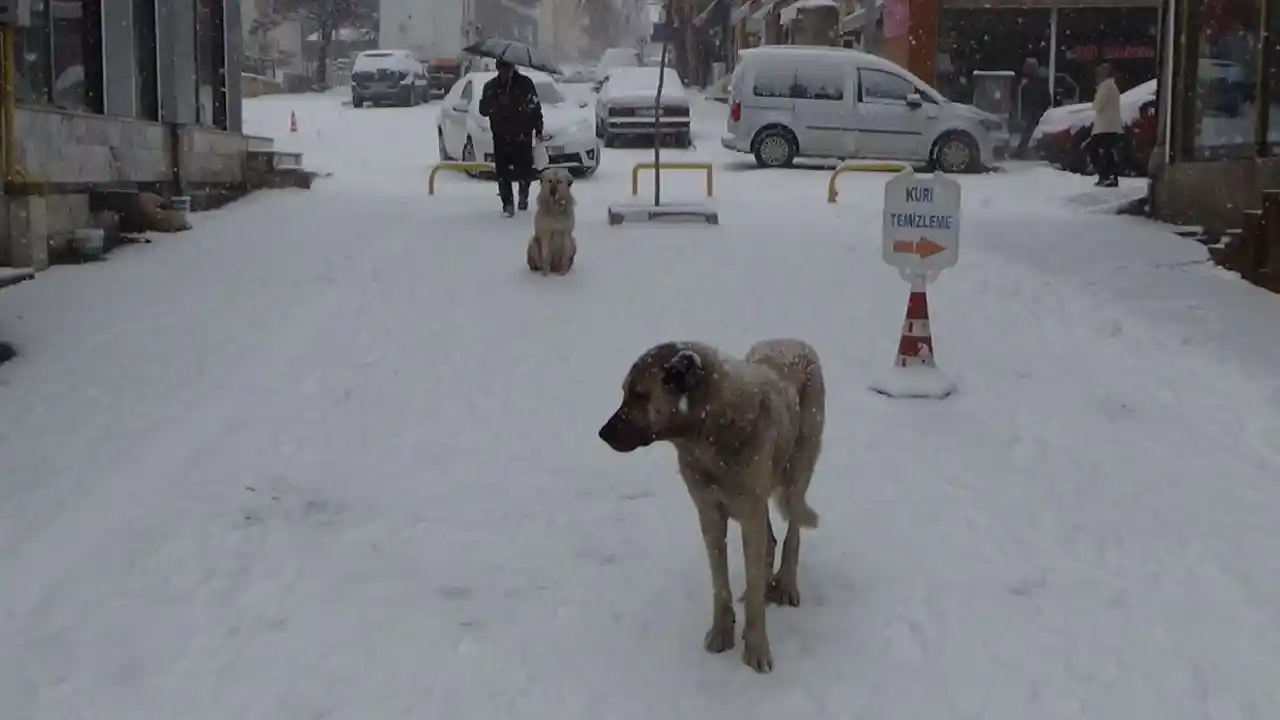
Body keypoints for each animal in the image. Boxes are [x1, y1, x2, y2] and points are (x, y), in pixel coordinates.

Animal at [596, 338, 824, 671]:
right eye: (627, 393)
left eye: (639, 394)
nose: (602, 434)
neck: (710, 430)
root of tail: (794, 341)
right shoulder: (709, 512)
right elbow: (720, 581)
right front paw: (721, 633)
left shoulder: (749, 512)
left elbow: (755, 590)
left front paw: (756, 649)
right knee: (770, 540)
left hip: (798, 472)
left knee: (792, 528)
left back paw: (785, 584)